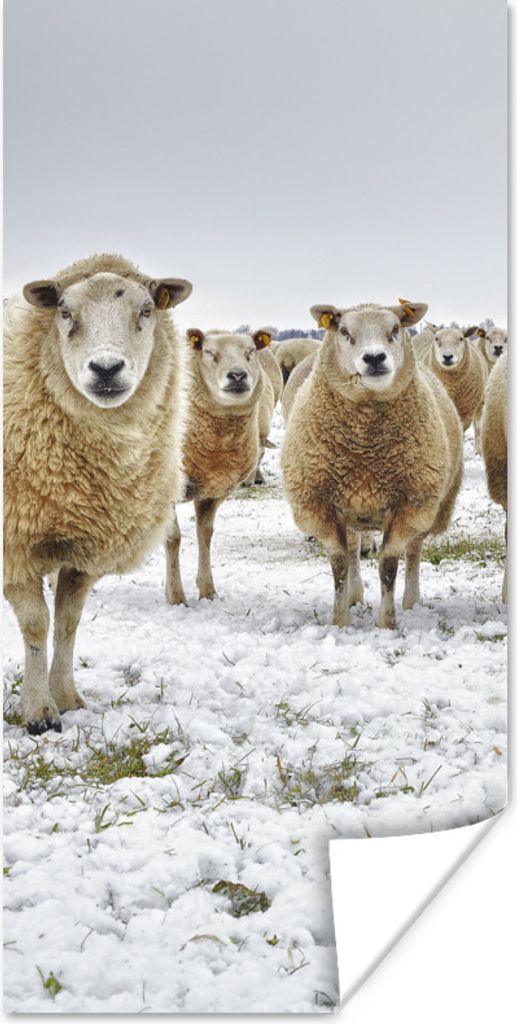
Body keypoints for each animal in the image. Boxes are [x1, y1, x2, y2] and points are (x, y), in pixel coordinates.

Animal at [3, 253, 192, 733]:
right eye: (64, 311)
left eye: (147, 309)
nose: (106, 369)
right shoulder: (14, 543)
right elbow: (36, 625)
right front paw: (38, 712)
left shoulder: (86, 547)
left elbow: (68, 622)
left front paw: (68, 698)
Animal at [165, 327, 272, 604]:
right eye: (210, 352)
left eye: (251, 352)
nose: (237, 375)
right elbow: (173, 538)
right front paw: (176, 596)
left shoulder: (212, 491)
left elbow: (205, 535)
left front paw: (207, 590)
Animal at [281, 300, 463, 629]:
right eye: (343, 331)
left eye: (395, 329)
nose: (375, 357)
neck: (365, 448)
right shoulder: (323, 505)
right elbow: (340, 564)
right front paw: (340, 620)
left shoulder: (408, 504)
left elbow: (389, 565)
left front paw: (387, 623)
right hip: (352, 506)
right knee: (354, 548)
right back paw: (355, 596)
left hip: (431, 503)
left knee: (415, 549)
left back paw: (411, 601)